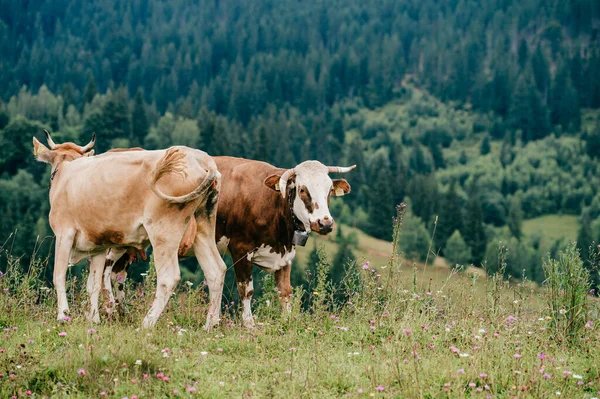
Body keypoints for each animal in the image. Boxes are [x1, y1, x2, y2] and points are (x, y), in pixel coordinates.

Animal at [32, 133, 226, 330]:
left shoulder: (64, 234)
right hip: (203, 224)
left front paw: (63, 315)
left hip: (163, 229)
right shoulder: (99, 245)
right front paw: (93, 319)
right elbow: (94, 283)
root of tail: (201, 158)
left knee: (169, 277)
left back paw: (146, 324)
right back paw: (209, 325)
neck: (66, 172)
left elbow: (59, 275)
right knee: (216, 270)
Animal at [105, 156, 354, 328]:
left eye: (329, 191)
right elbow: (247, 290)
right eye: (303, 190)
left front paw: (288, 321)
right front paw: (249, 324)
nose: (325, 223)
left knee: (119, 274)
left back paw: (121, 313)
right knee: (107, 270)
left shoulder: (285, 256)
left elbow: (285, 291)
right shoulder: (241, 248)